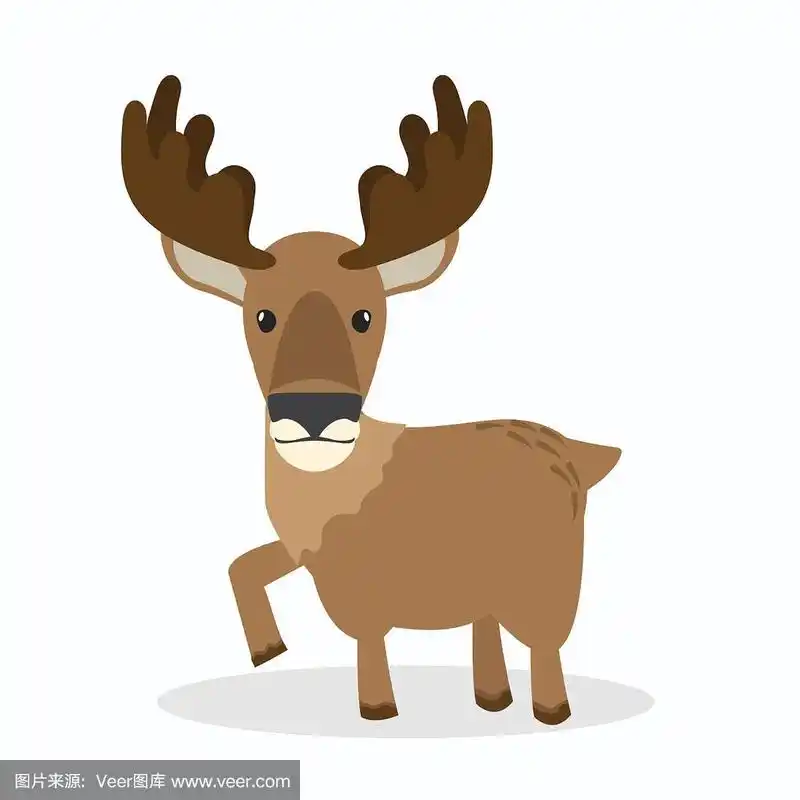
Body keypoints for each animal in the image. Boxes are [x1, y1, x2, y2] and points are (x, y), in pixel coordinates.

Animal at [121, 74, 621, 725]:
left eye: (365, 315)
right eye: (261, 315)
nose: (312, 411)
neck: (333, 492)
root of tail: (581, 455)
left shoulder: (362, 588)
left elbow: (368, 641)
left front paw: (377, 708)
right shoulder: (310, 552)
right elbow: (243, 562)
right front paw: (267, 650)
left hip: (547, 579)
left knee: (545, 646)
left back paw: (549, 712)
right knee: (487, 629)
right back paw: (491, 700)